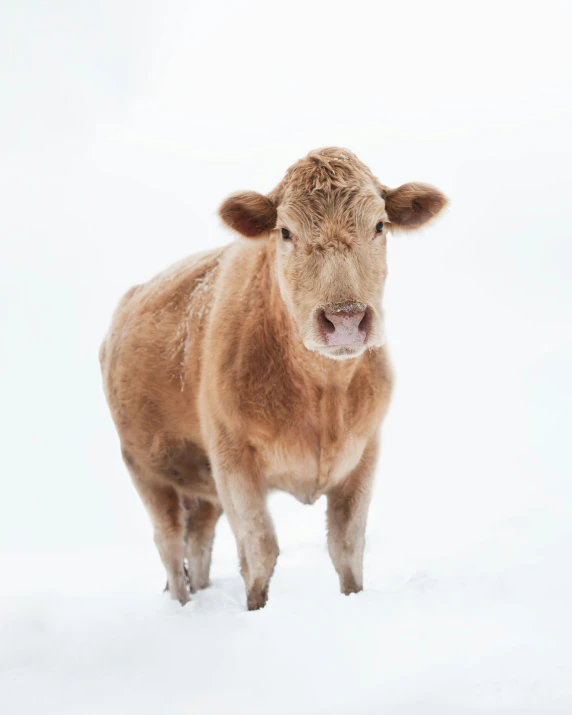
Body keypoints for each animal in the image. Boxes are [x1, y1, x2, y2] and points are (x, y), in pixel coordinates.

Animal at [100, 148, 450, 612]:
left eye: (379, 225)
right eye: (285, 232)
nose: (345, 319)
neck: (323, 392)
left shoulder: (364, 453)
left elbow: (347, 546)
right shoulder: (232, 459)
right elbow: (260, 550)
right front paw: (256, 612)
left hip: (200, 488)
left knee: (199, 541)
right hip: (145, 468)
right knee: (171, 547)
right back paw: (184, 607)